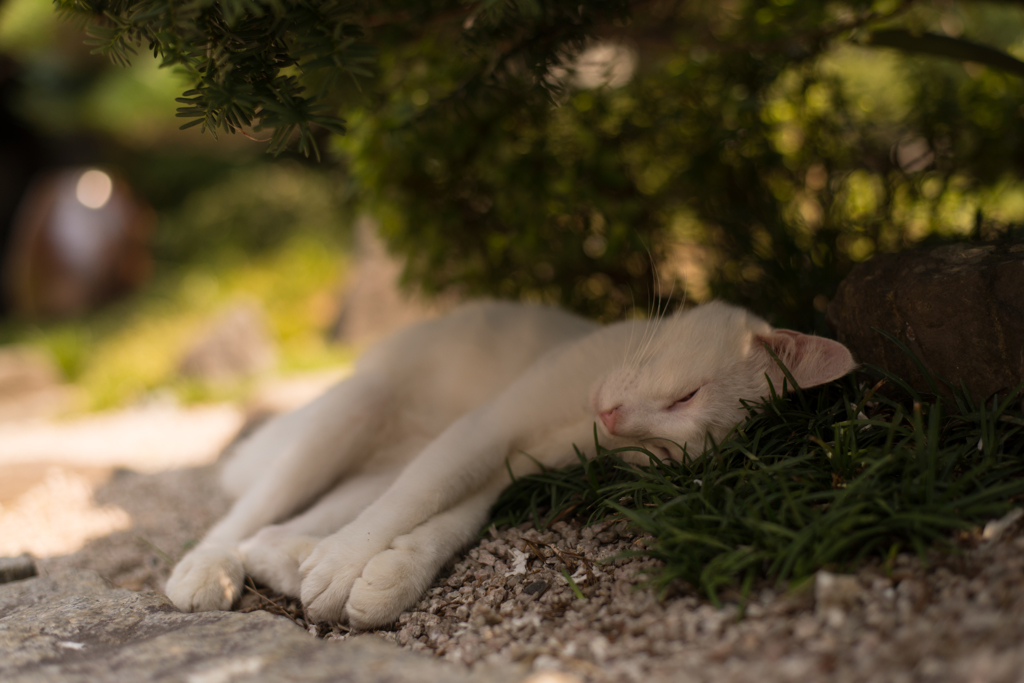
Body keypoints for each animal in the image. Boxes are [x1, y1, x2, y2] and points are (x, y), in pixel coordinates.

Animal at [165, 299, 856, 630]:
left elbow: (451, 519)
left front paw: (382, 575)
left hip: (373, 464)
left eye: (661, 451)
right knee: (250, 510)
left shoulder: (507, 464)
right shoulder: (487, 426)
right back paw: (207, 570)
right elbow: (419, 498)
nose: (613, 421)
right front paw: (343, 563)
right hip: (353, 408)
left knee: (274, 530)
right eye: (685, 396)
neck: (576, 420)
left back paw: (283, 558)